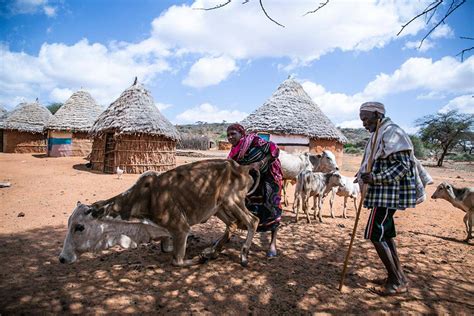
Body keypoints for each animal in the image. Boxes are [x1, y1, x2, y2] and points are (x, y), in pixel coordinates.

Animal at [59, 159, 262, 266]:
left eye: (80, 227)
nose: (62, 258)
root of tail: (241, 166)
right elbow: (166, 248)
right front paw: (204, 254)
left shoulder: (181, 229)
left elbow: (177, 260)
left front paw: (199, 258)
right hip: (217, 207)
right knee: (233, 224)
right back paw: (214, 251)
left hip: (232, 201)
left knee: (253, 220)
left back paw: (243, 255)